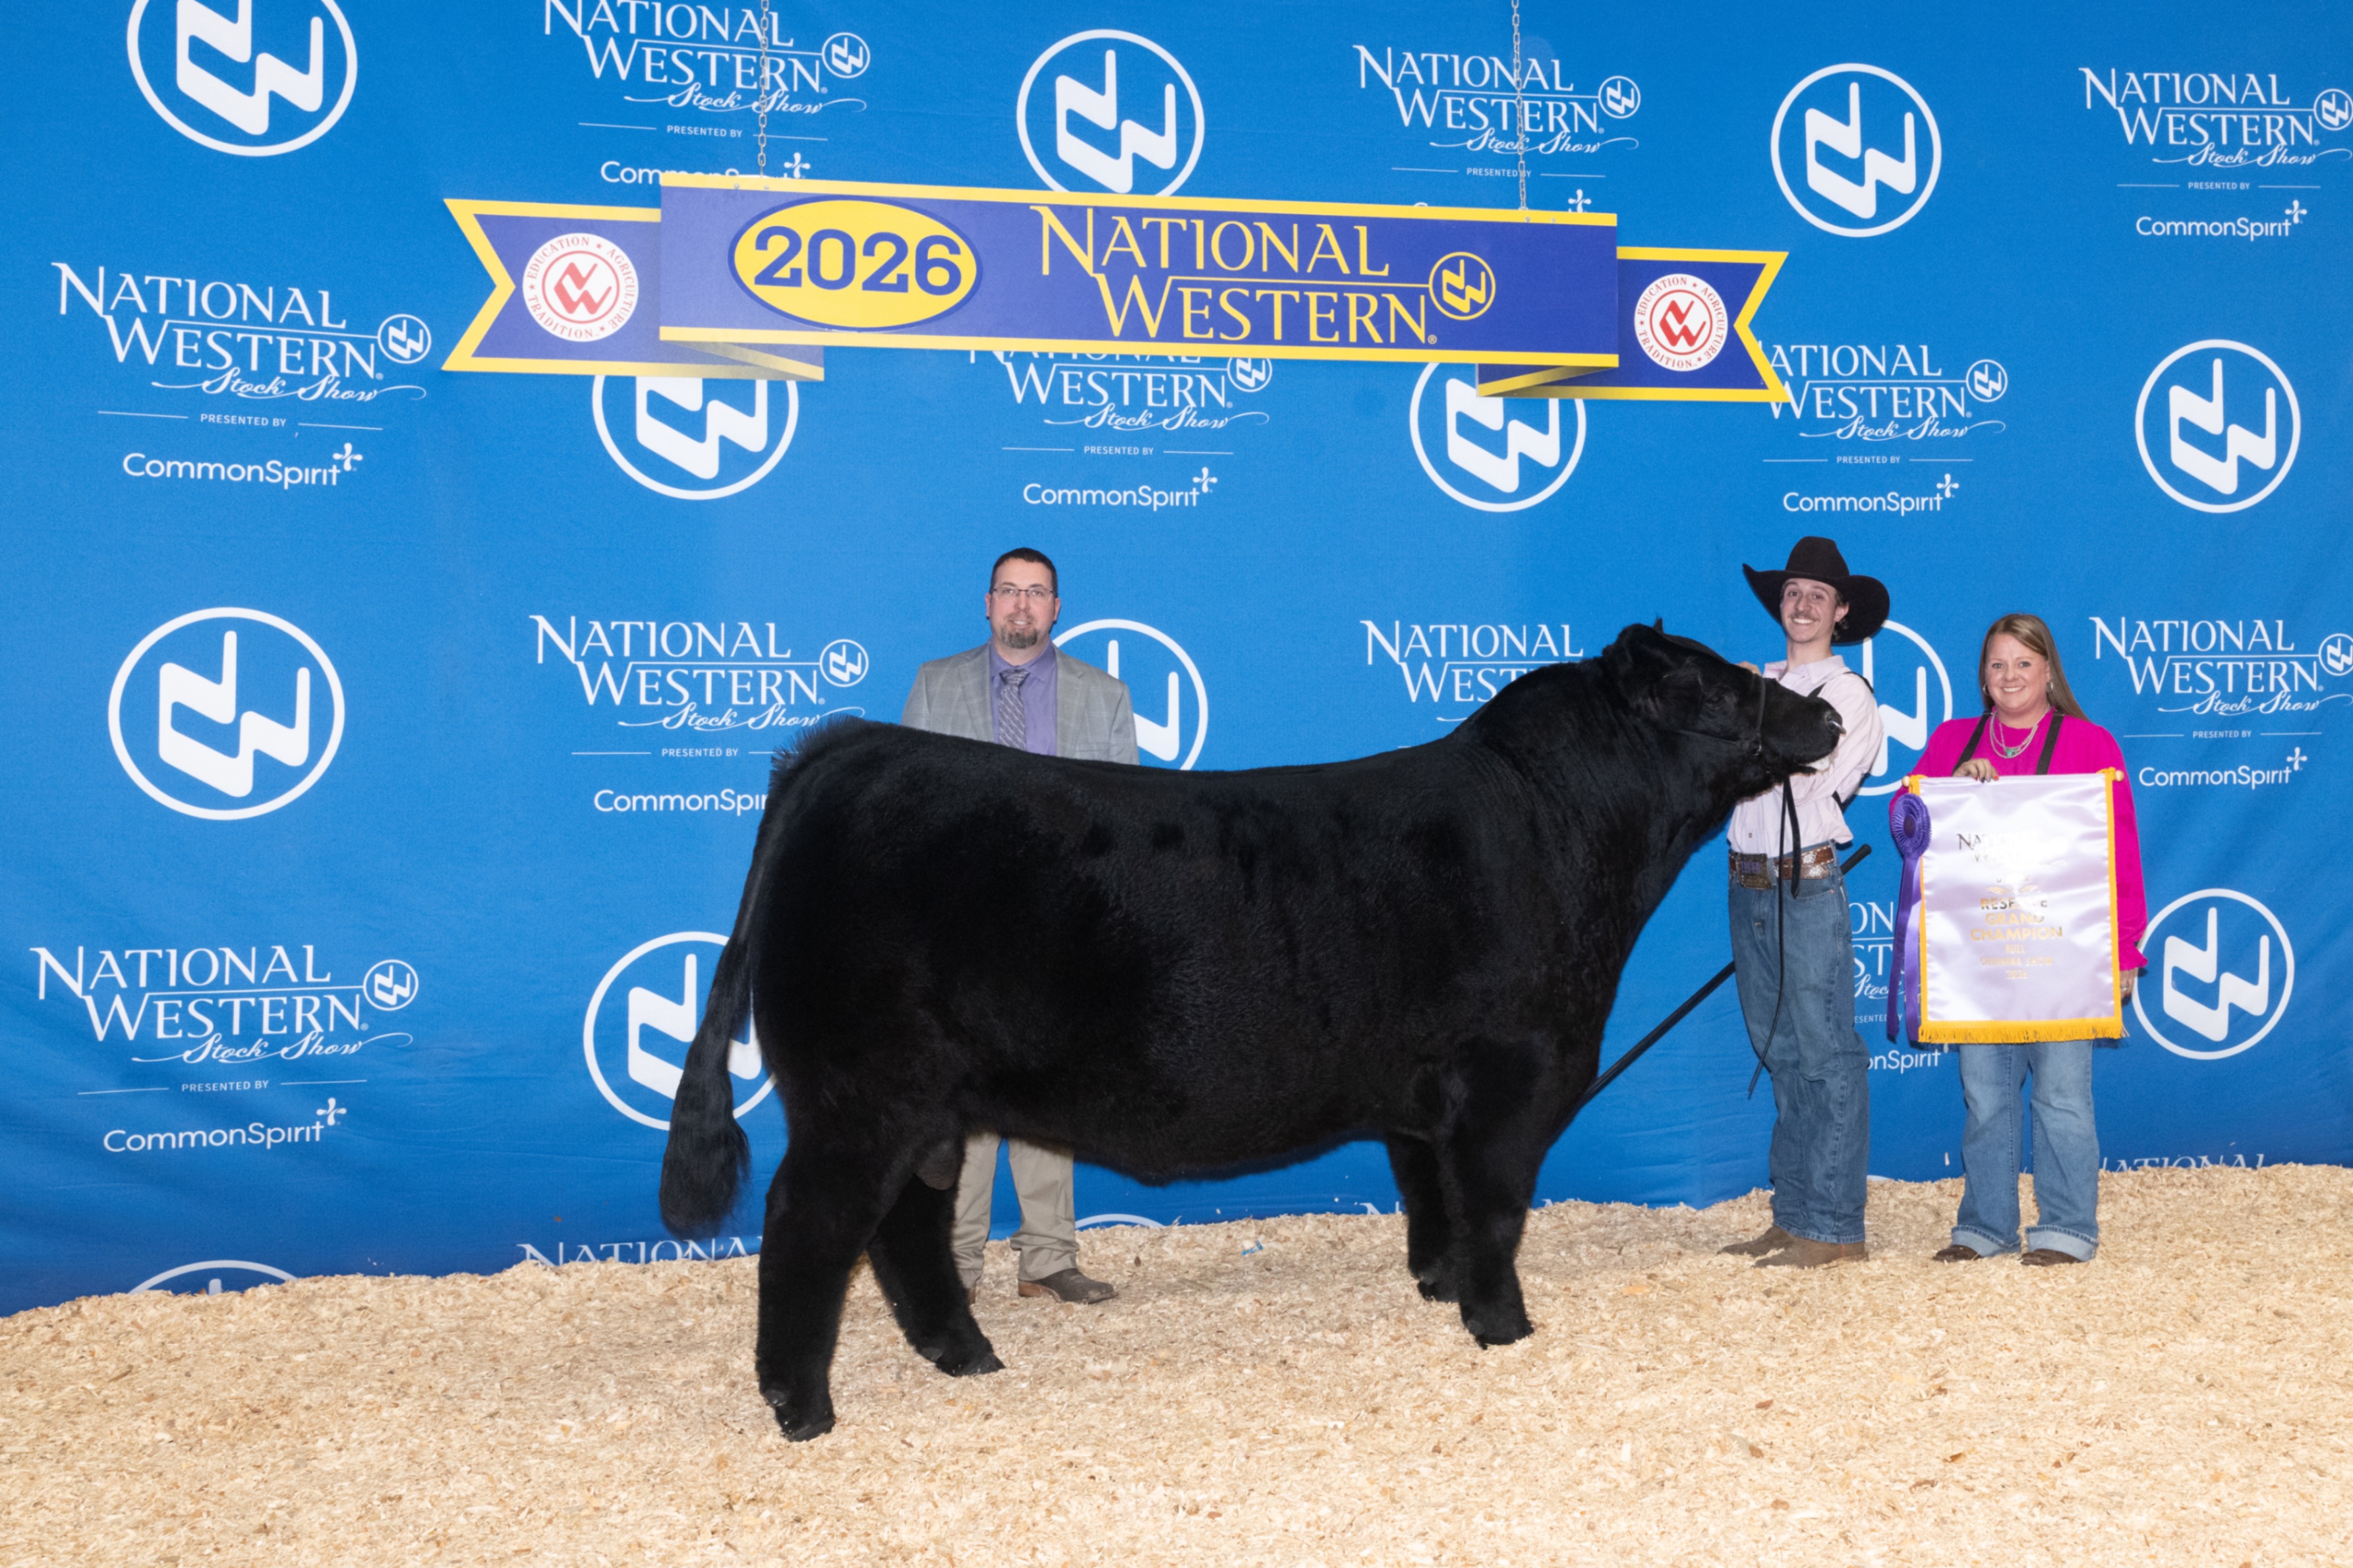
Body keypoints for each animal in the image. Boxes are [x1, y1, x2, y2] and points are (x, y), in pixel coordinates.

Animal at [660, 622, 1842, 1439]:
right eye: (1720, 681)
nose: (1828, 719)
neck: (1562, 829)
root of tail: (852, 747)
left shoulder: (1423, 1095)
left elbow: (1434, 1196)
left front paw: (1439, 1286)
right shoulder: (1510, 1074)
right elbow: (1497, 1207)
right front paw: (1502, 1324)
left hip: (924, 1100)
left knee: (906, 1222)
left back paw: (965, 1352)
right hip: (861, 1092)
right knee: (810, 1224)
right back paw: (803, 1404)